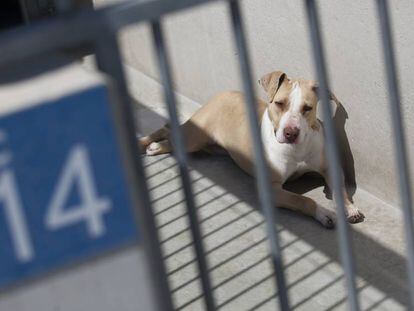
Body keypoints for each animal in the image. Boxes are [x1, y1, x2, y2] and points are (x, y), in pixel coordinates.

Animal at [140, 70, 366, 229]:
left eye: (307, 108)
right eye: (279, 103)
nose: (291, 133)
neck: (297, 149)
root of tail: (222, 94)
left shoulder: (330, 168)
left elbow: (341, 190)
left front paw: (350, 208)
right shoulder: (270, 189)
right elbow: (303, 199)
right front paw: (324, 213)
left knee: (170, 127)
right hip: (193, 138)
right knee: (170, 132)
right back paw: (153, 145)